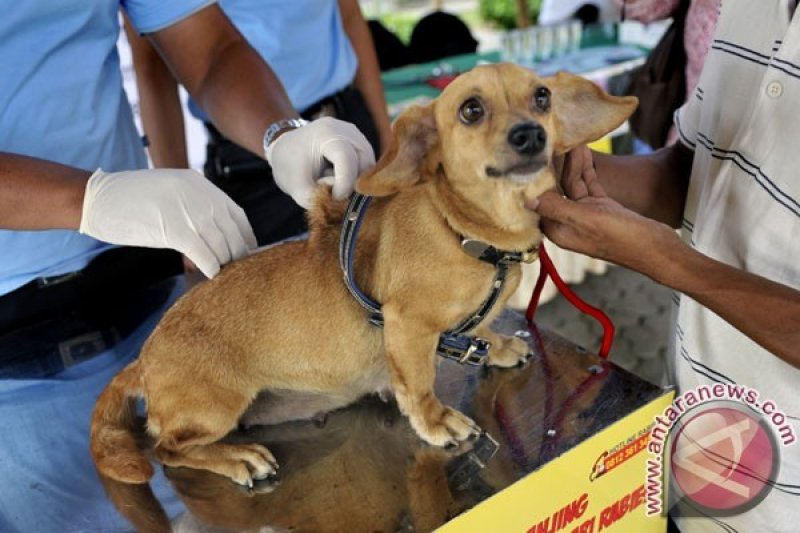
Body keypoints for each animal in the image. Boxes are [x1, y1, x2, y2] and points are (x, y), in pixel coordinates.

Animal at [89, 62, 636, 494]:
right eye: (471, 110)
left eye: (542, 97)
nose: (530, 134)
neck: (465, 231)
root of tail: (143, 359)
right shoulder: (407, 327)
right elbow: (418, 386)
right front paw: (436, 420)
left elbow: (479, 329)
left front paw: (494, 345)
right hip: (214, 409)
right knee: (167, 449)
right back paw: (235, 457)